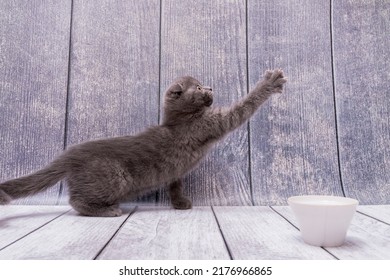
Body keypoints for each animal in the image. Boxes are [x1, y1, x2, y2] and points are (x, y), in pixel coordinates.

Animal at [0, 69, 286, 218]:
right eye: (198, 87)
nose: (211, 87)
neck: (180, 119)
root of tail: (70, 153)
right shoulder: (212, 124)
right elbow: (243, 107)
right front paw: (270, 83)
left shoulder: (176, 172)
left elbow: (175, 184)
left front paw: (180, 202)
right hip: (114, 176)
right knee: (75, 201)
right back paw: (108, 211)